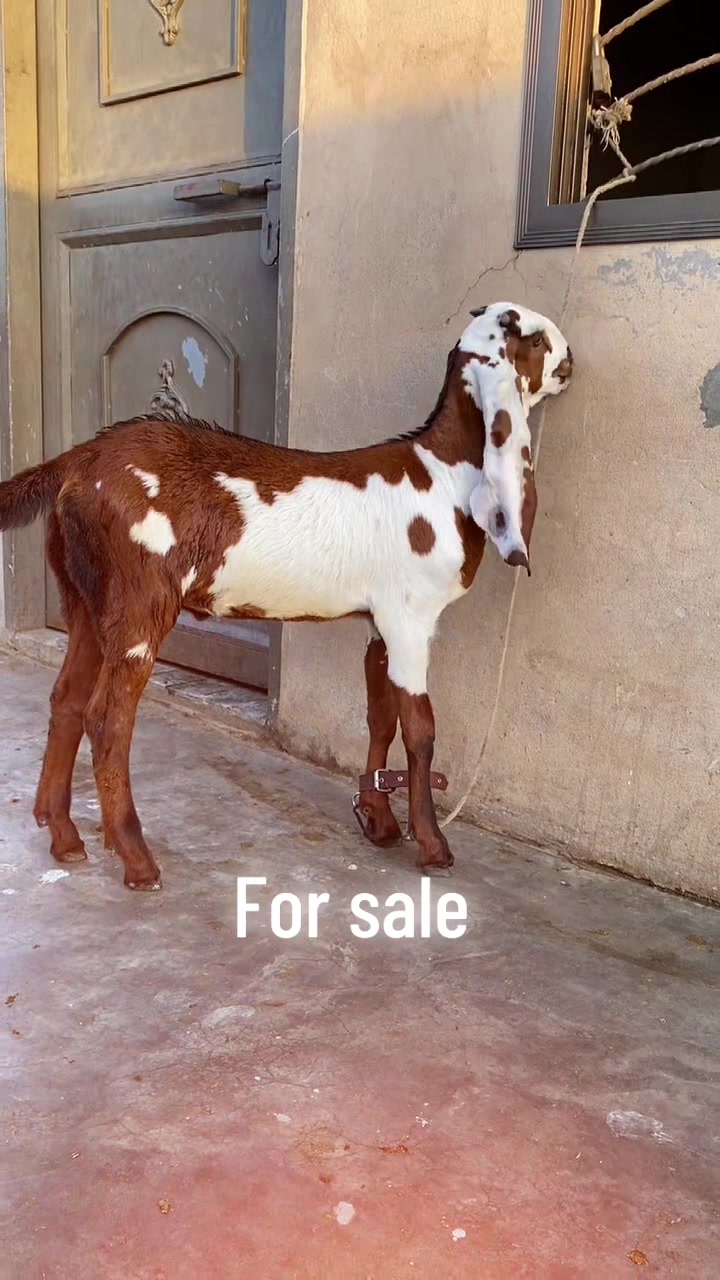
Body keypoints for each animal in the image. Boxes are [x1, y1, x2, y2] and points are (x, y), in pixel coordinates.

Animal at [0, 302, 572, 889]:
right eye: (532, 337)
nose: (570, 359)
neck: (439, 472)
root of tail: (76, 463)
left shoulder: (381, 619)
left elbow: (379, 715)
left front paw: (378, 819)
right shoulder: (411, 618)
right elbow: (420, 729)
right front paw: (433, 846)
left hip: (84, 597)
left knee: (67, 699)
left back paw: (63, 835)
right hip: (140, 602)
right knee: (107, 719)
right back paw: (135, 858)